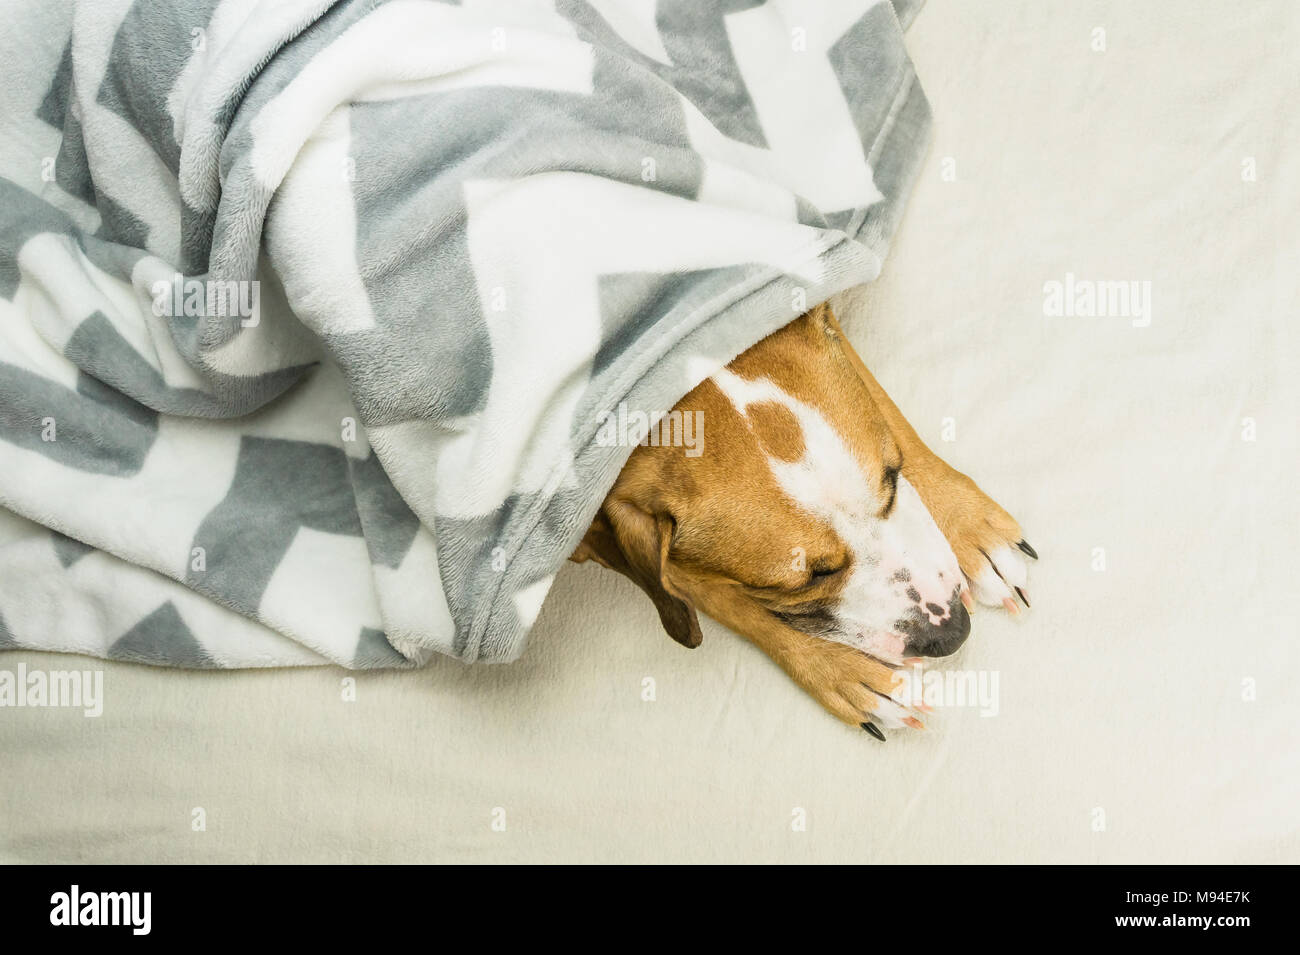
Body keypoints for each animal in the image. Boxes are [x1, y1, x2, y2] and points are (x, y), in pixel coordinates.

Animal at [572, 304, 1034, 738]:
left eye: (891, 480)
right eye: (808, 579)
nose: (953, 632)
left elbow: (884, 405)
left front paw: (968, 528)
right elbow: (727, 601)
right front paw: (844, 670)